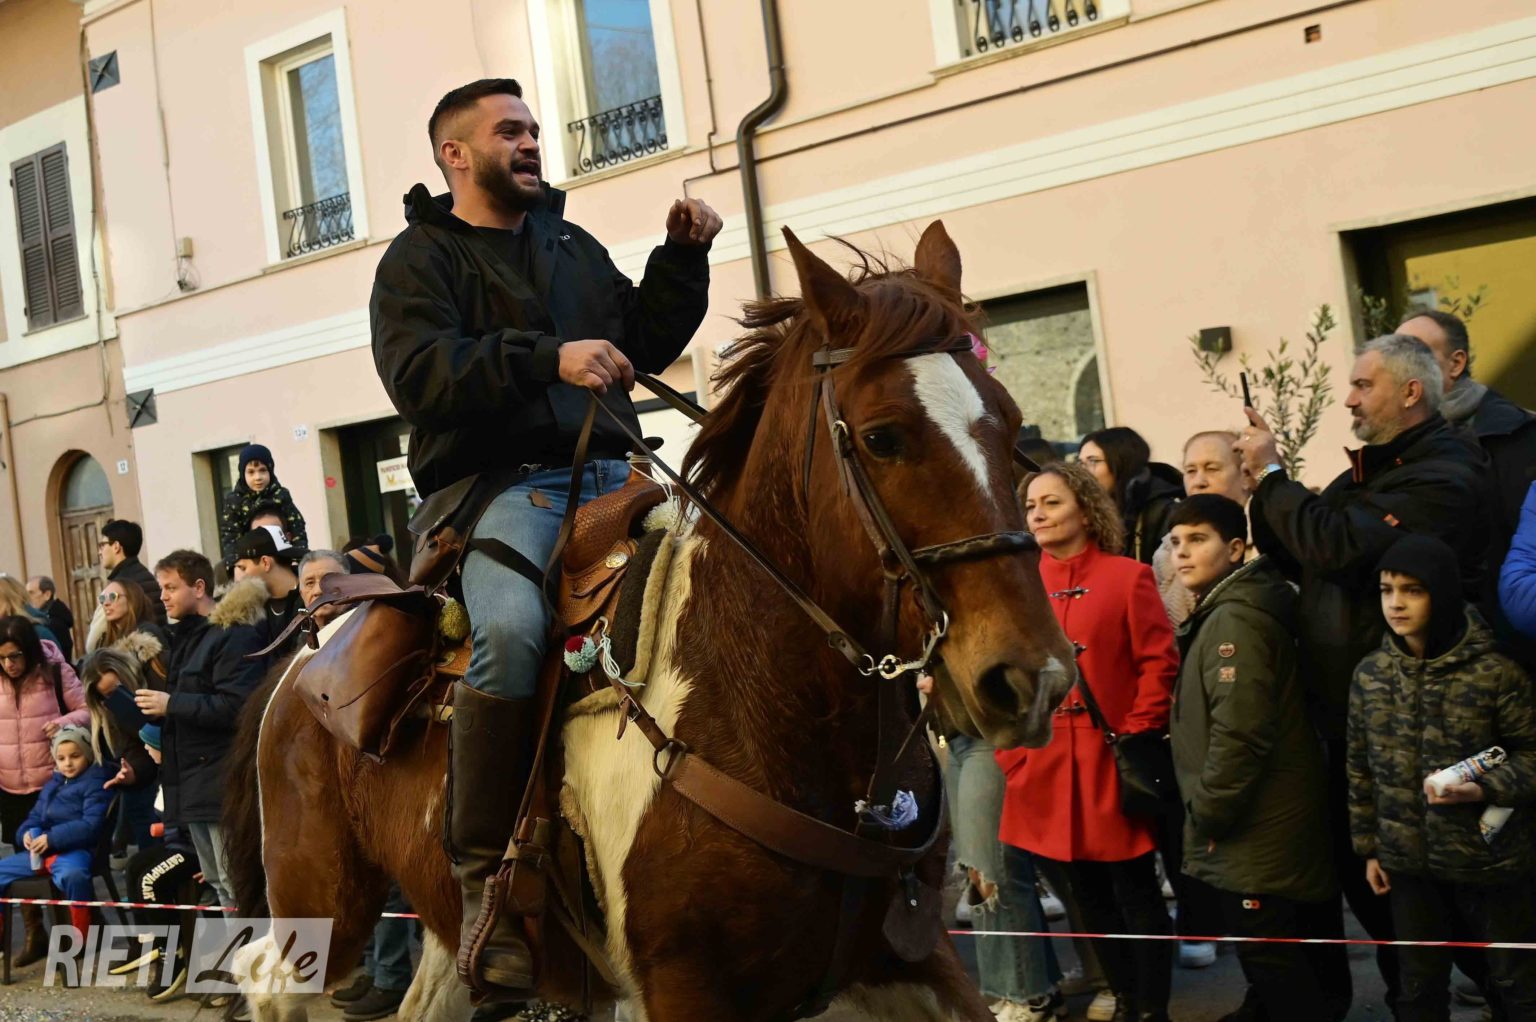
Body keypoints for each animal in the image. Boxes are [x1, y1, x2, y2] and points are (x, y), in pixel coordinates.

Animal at [221, 220, 1078, 1022]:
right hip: (319, 897)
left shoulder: (908, 962)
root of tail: (300, 656)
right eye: (882, 436)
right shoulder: (683, 987)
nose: (1031, 675)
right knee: (267, 980)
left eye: (1010, 422)